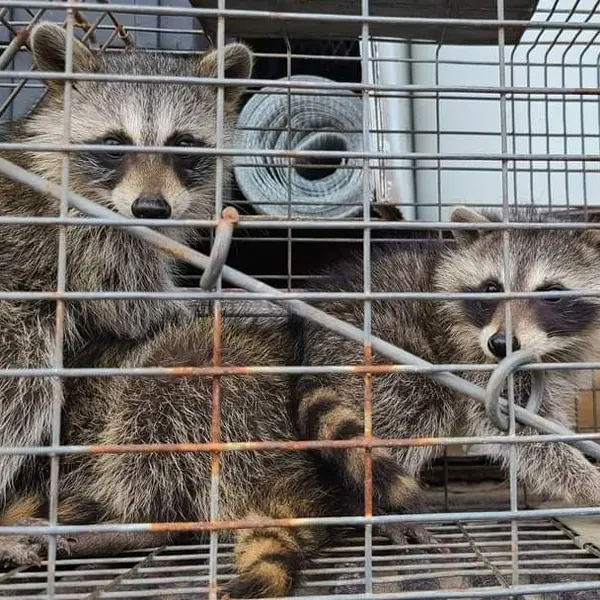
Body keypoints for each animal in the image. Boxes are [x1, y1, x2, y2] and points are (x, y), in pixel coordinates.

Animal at [0, 23, 251, 504]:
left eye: (183, 145)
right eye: (114, 144)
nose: (151, 208)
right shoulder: (82, 235)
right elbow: (129, 306)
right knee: (24, 371)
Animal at [294, 206, 600, 516]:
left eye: (551, 293)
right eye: (491, 288)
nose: (501, 344)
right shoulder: (478, 363)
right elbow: (519, 432)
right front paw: (588, 481)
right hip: (378, 348)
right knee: (411, 413)